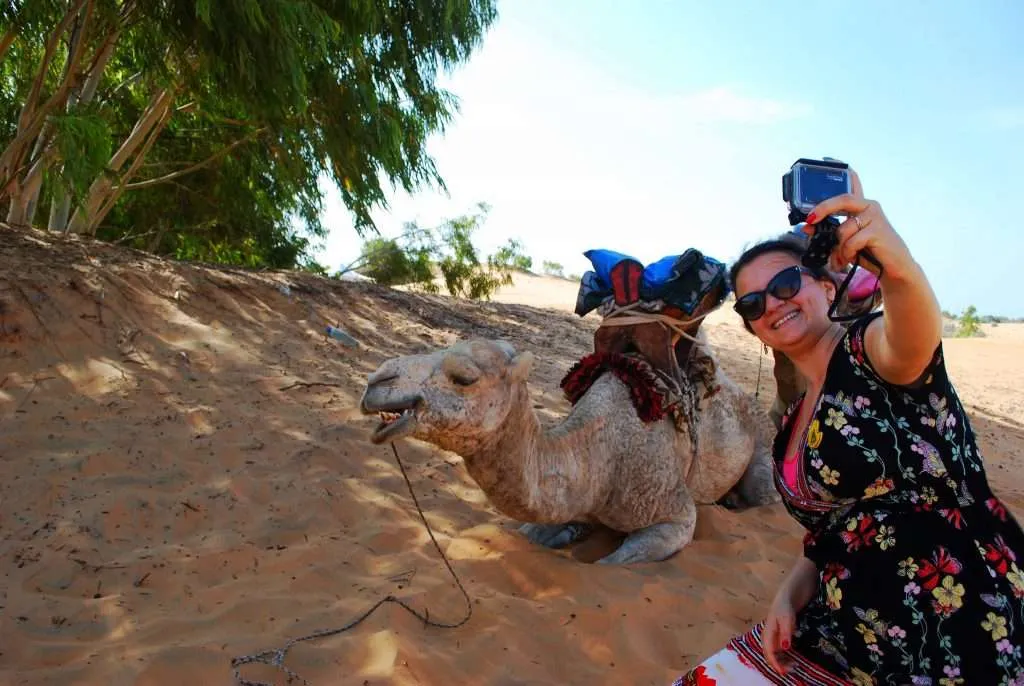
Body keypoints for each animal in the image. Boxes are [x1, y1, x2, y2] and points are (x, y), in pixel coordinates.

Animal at [358, 329, 779, 565]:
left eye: (464, 377)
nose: (376, 382)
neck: (599, 458)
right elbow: (532, 532)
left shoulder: (673, 512)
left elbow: (612, 564)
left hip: (763, 441)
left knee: (765, 496)